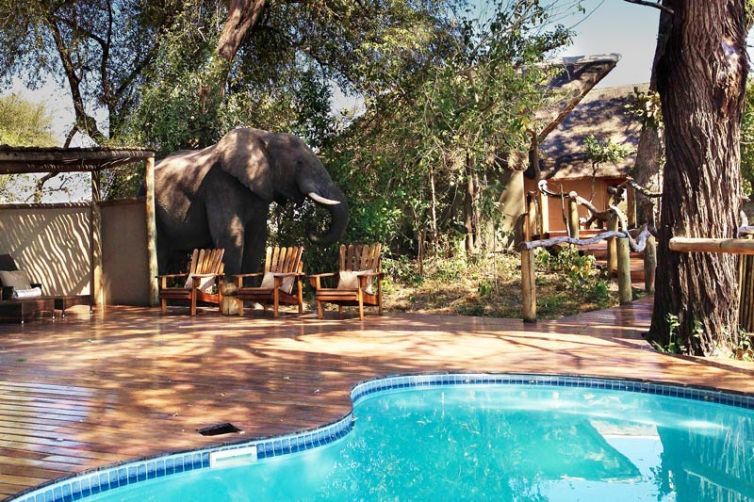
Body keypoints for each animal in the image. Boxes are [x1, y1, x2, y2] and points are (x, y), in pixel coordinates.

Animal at [153, 127, 348, 275]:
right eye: (299, 163)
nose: (310, 227)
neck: (266, 136)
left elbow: (257, 239)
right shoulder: (219, 183)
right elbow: (230, 236)